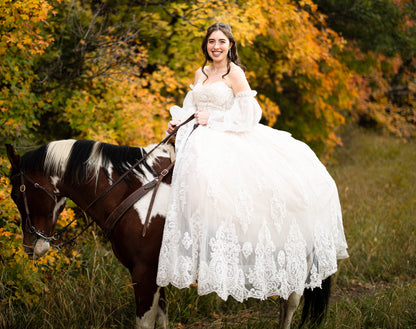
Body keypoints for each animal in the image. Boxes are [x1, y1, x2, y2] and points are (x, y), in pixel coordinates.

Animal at [5, 140, 332, 326]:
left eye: (16, 193)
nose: (32, 247)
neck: (134, 192)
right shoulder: (156, 273)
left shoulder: (144, 273)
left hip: (300, 260)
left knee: (290, 305)